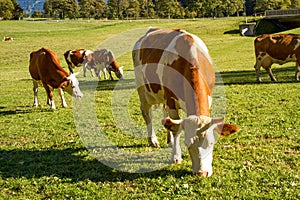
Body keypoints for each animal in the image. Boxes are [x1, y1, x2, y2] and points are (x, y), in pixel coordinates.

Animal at [132, 28, 238, 177]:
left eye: (211, 143)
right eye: (187, 144)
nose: (202, 173)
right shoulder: (171, 100)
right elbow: (177, 130)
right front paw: (176, 157)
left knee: (165, 116)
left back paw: (169, 141)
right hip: (143, 89)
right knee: (147, 114)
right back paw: (153, 140)